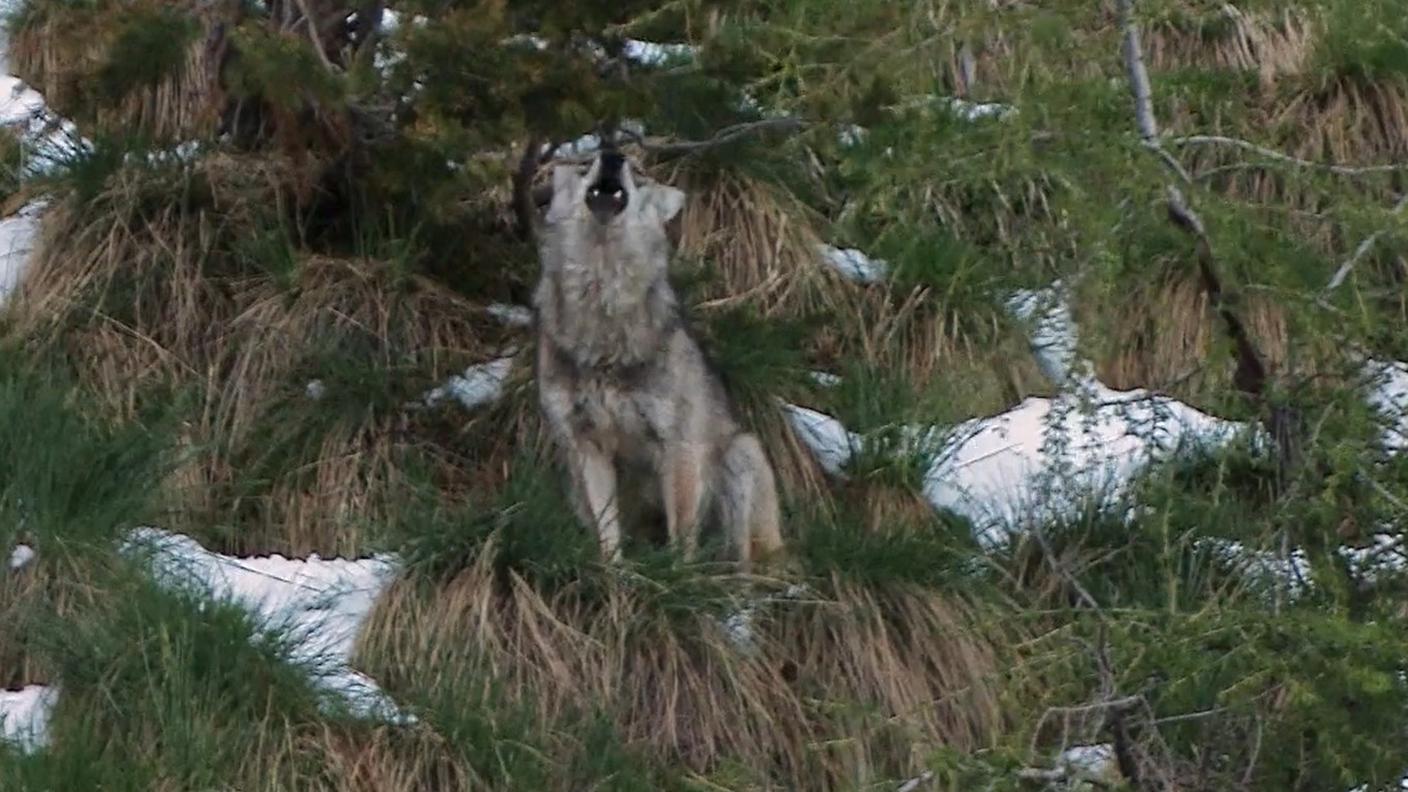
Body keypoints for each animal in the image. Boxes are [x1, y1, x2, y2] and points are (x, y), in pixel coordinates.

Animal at [532, 147, 788, 563]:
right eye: (588, 163)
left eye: (637, 173)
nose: (613, 156)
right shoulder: (586, 445)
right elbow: (608, 534)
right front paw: (615, 574)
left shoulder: (678, 445)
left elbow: (681, 536)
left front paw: (677, 575)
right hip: (572, 479)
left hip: (741, 454)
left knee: (742, 559)